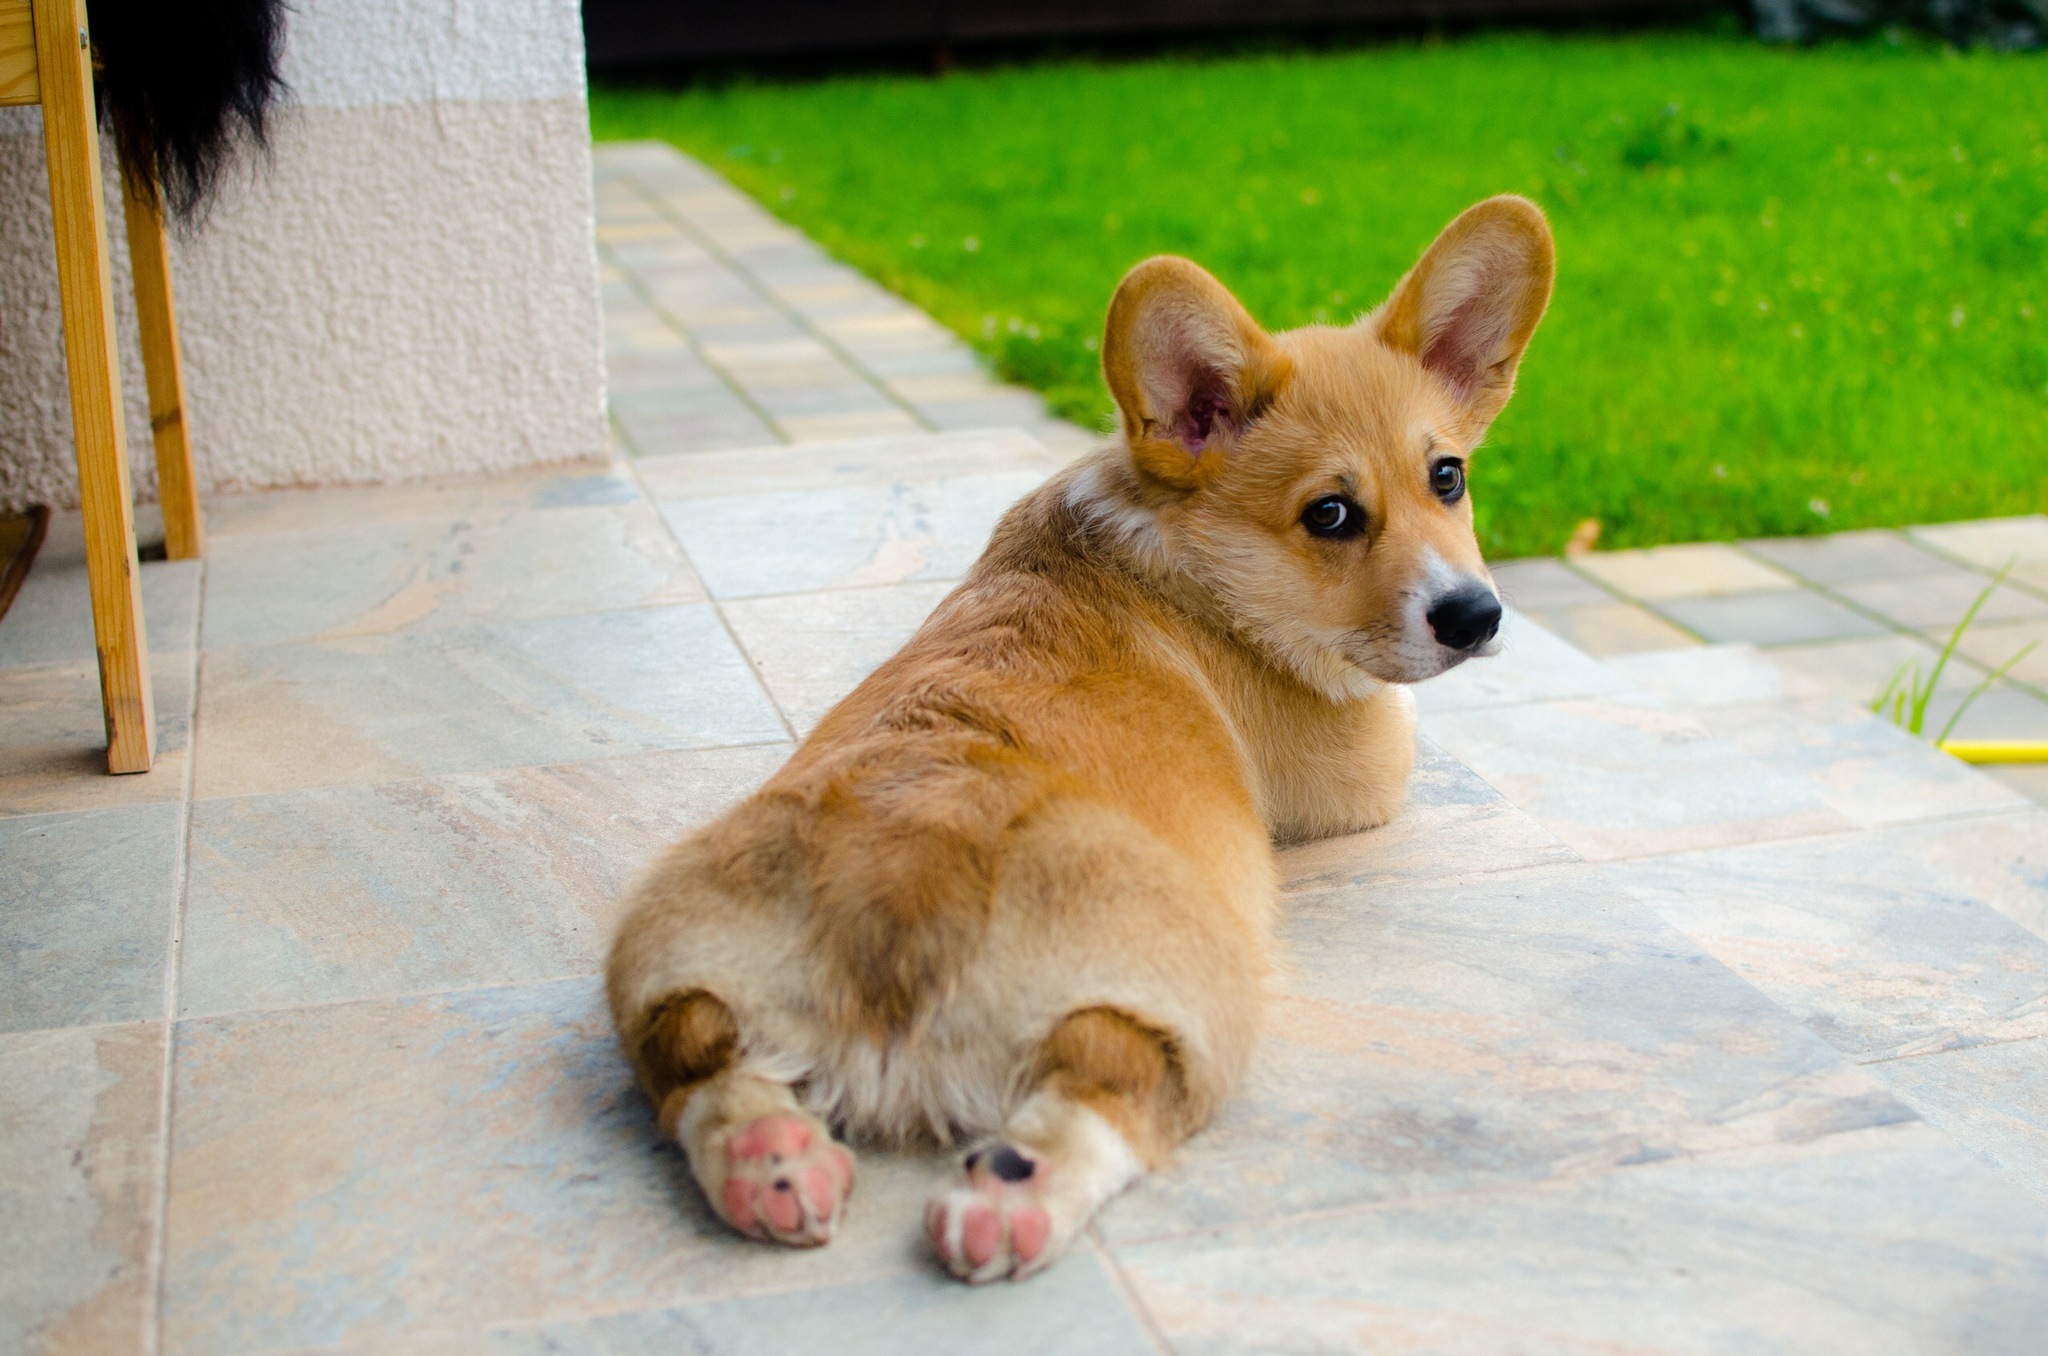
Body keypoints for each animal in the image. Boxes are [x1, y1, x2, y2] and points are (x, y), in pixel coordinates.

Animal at [606, 191, 1548, 1286]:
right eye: (1329, 514)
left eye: (1448, 477)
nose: (1476, 617)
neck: (1185, 548)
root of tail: (903, 890)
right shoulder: (1363, 768)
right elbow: (1407, 726)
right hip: (1194, 995)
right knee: (1116, 1083)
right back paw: (1009, 1195)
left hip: (665, 957)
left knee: (691, 1054)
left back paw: (774, 1159)